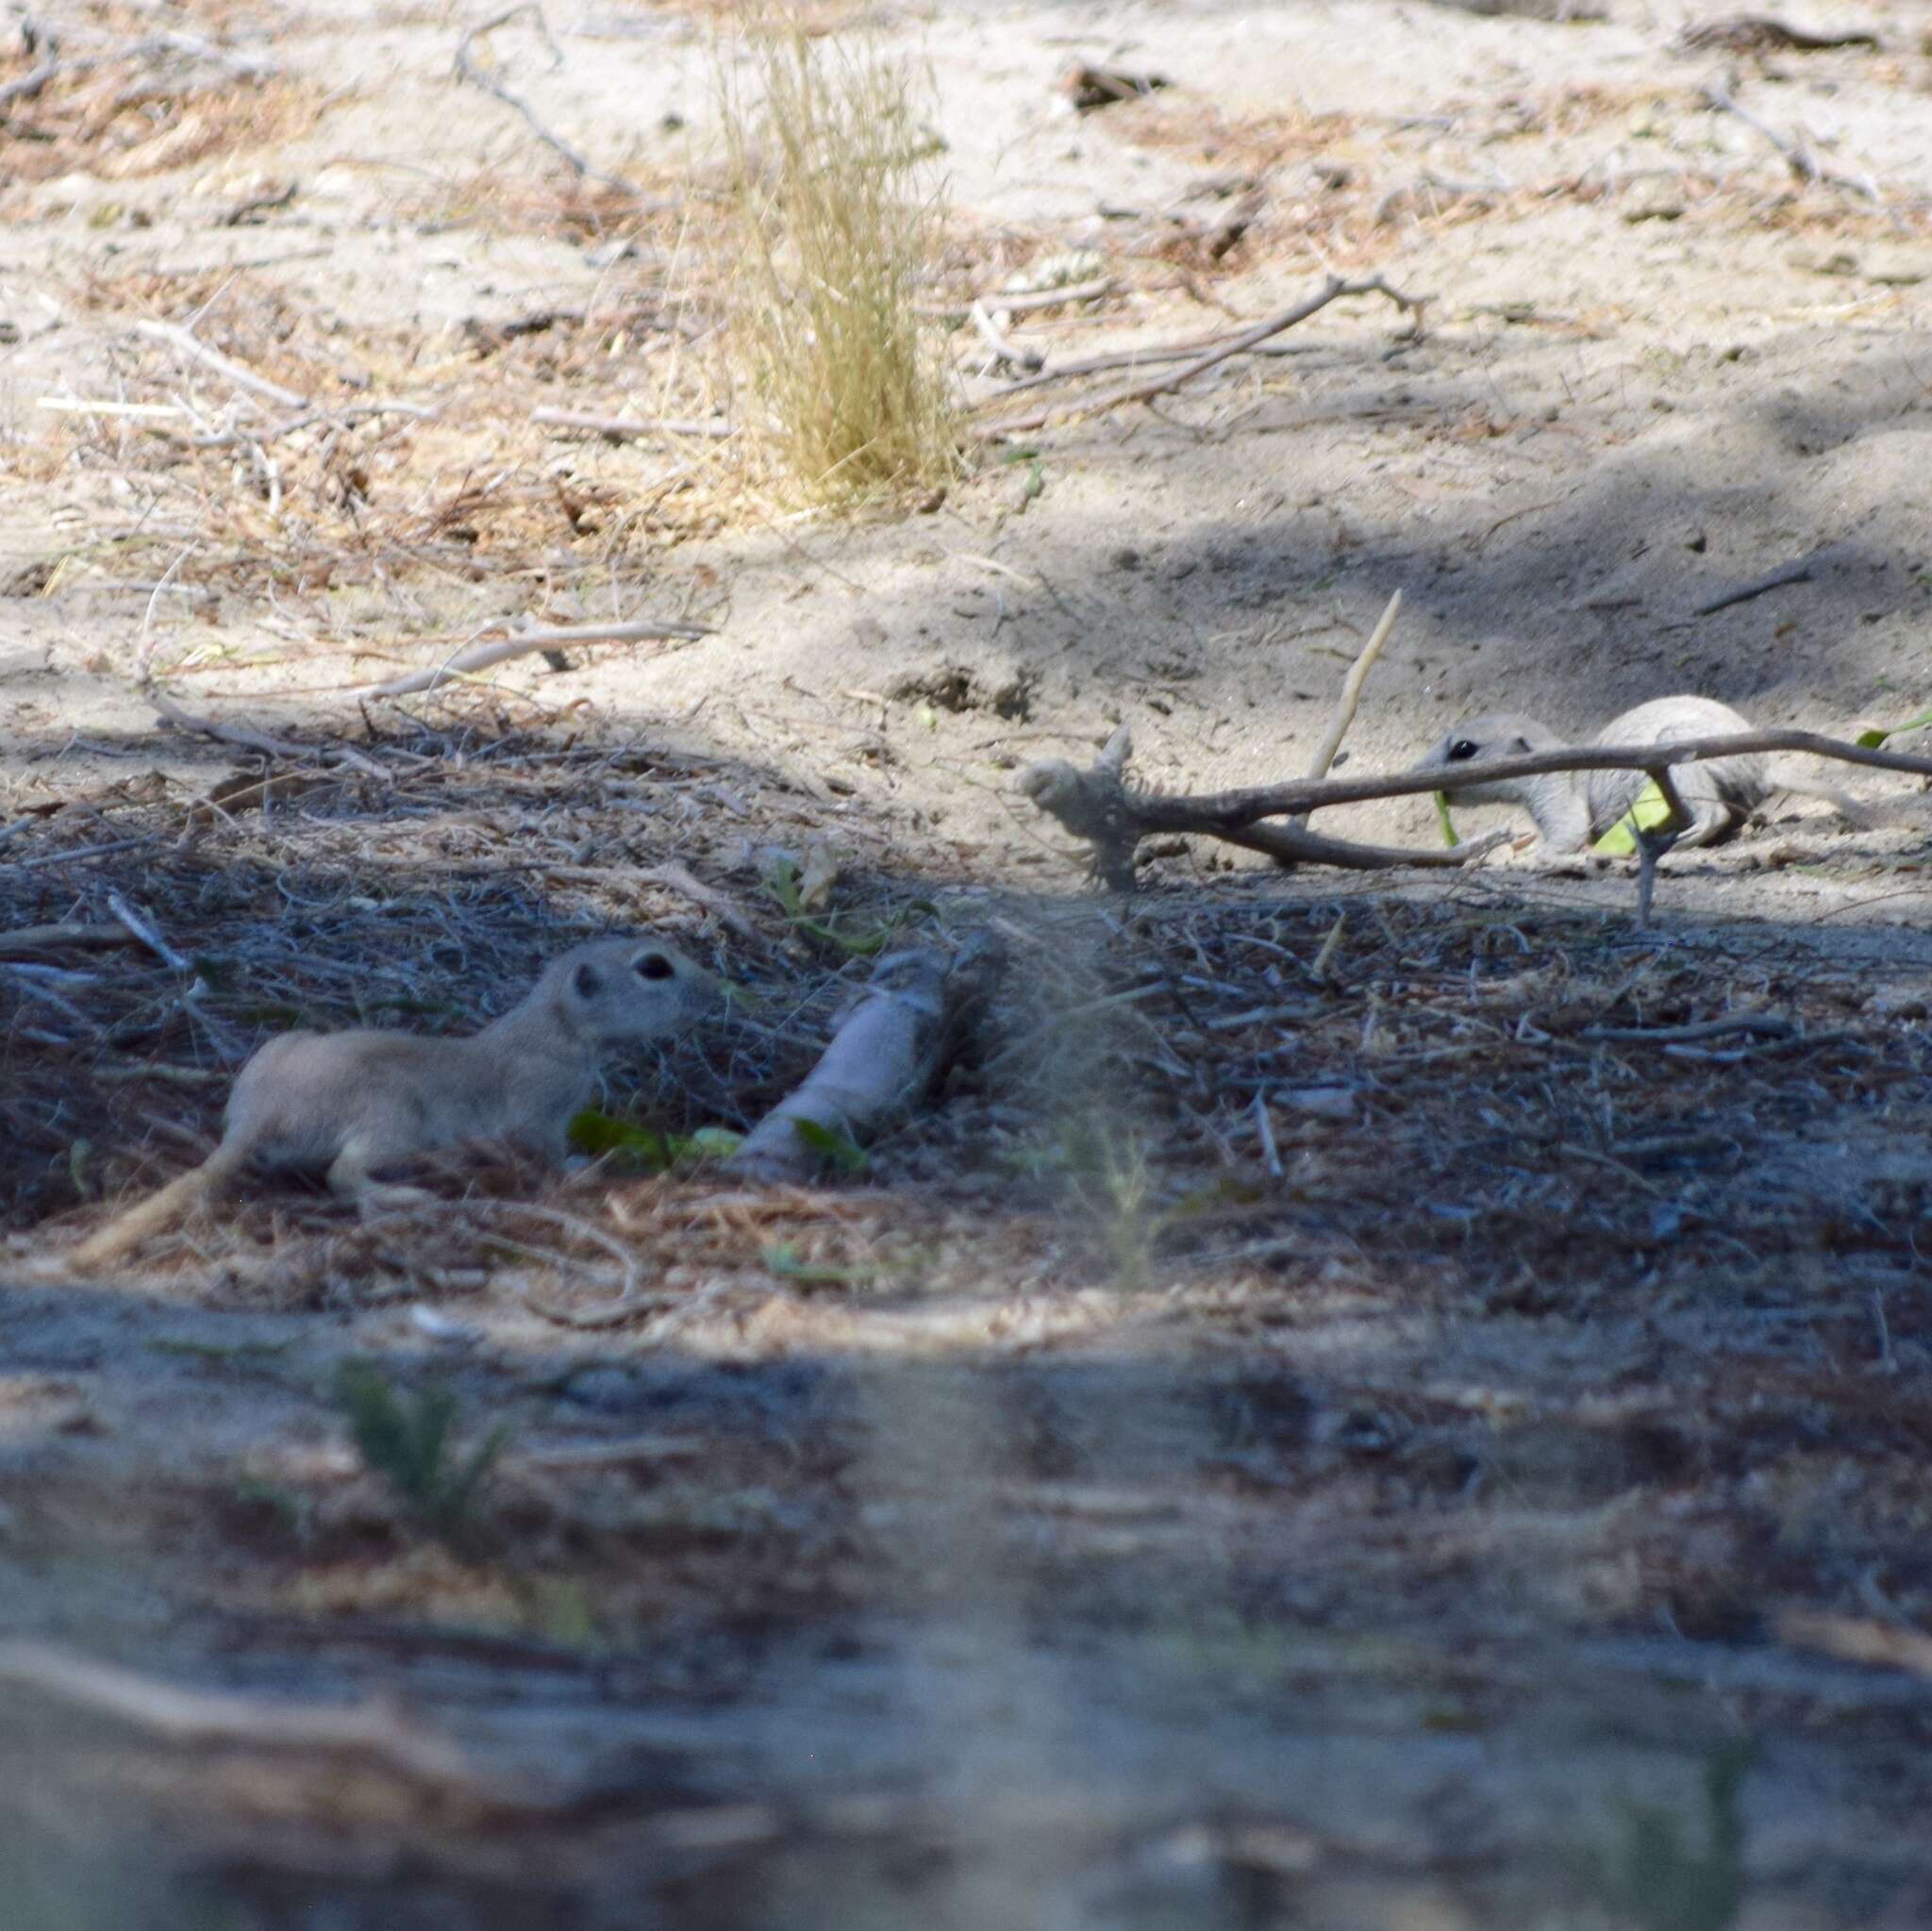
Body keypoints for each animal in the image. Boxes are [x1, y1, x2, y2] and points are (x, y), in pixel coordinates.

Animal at [66, 930, 726, 1266]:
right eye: (654, 968)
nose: (717, 989)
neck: (554, 1025)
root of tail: (258, 1115)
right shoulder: (538, 1107)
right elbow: (547, 1149)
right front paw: (589, 1165)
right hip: (394, 1117)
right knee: (342, 1175)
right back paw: (407, 1196)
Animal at [1414, 687, 1862, 853]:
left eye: (1463, 749)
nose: (1418, 774)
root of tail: (1767, 766)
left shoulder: (1556, 793)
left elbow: (1567, 833)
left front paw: (1517, 855)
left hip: (1680, 752)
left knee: (1713, 813)